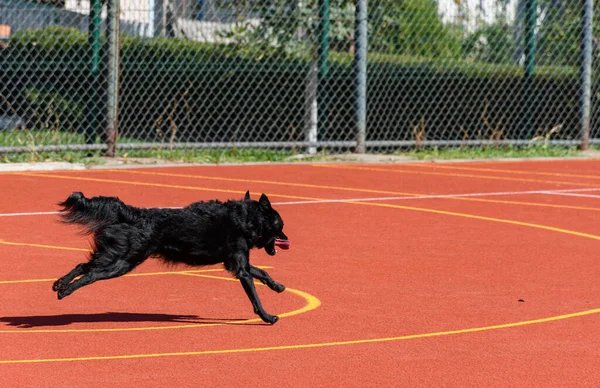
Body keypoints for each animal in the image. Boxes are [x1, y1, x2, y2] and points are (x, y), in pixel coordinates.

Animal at [52, 192, 292, 324]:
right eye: (281, 224)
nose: (287, 238)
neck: (246, 218)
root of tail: (133, 214)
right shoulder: (240, 268)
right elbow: (256, 298)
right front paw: (268, 317)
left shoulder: (234, 262)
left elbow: (262, 272)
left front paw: (278, 286)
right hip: (123, 262)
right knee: (91, 274)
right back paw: (65, 291)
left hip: (115, 255)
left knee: (83, 265)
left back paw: (59, 284)